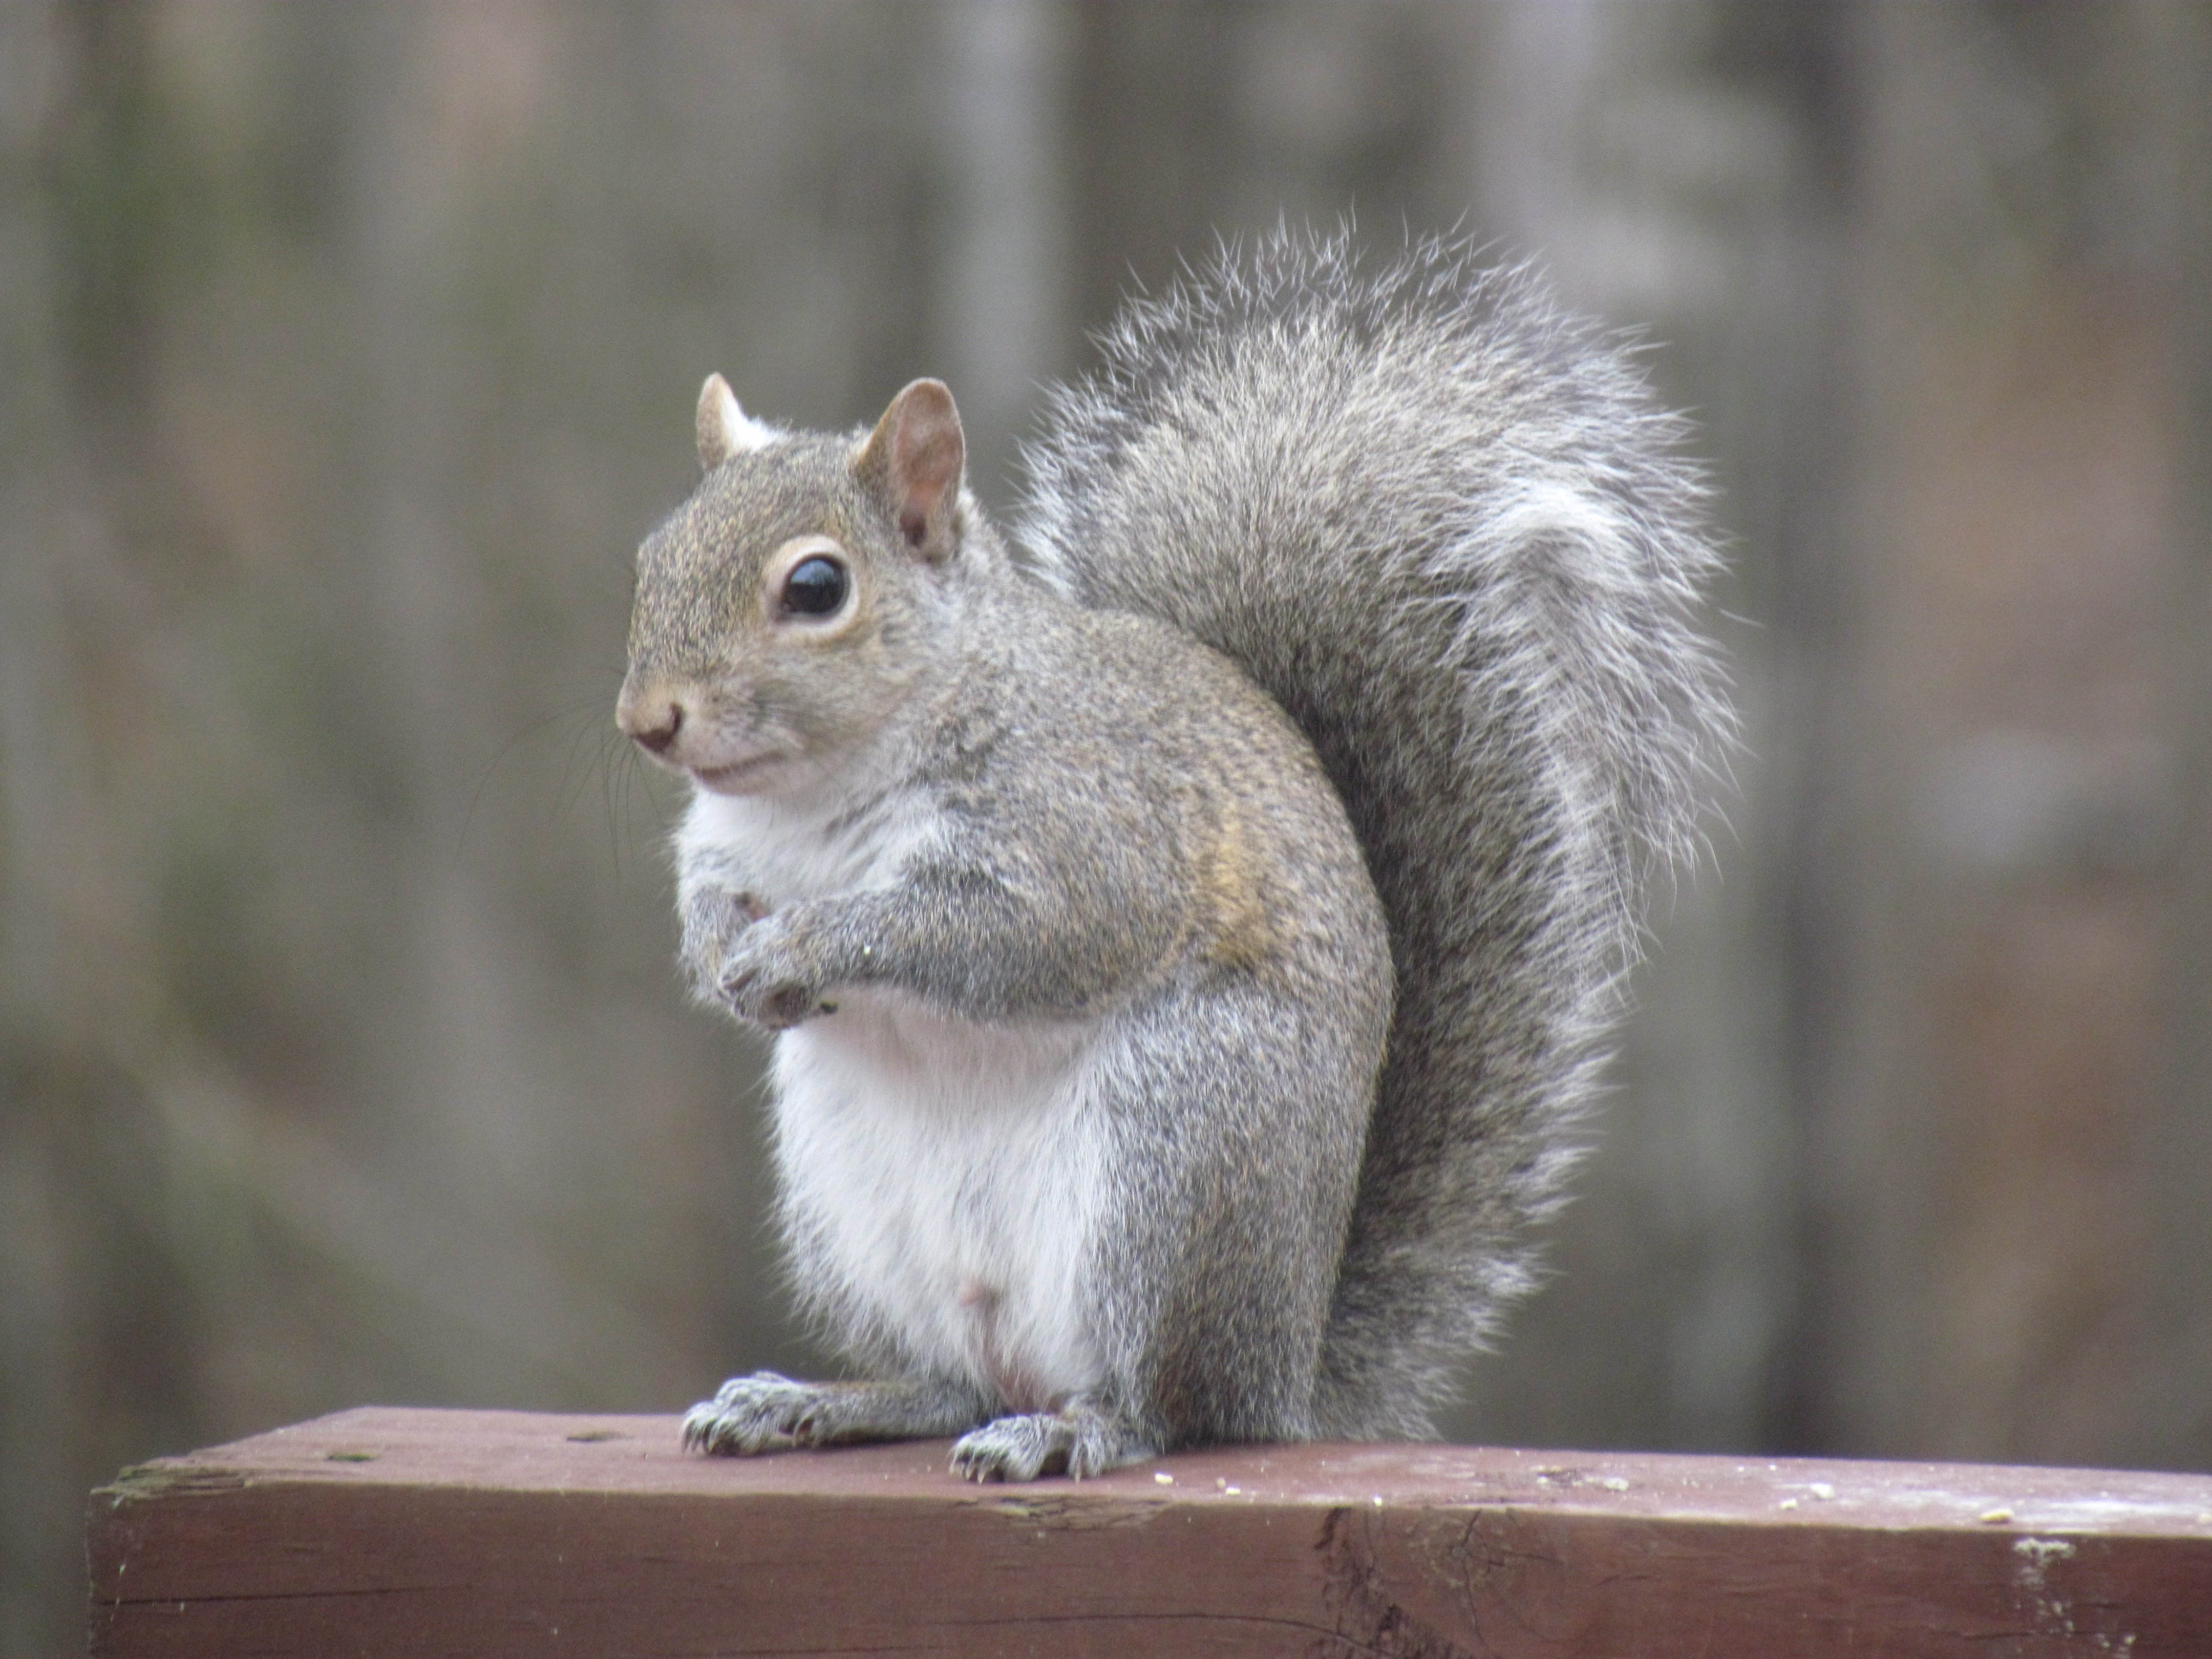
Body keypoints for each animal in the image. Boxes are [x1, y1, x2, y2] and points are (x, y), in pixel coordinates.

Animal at [616, 230, 1728, 1481]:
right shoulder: (724, 846)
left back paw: (1077, 1428)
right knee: (953, 1384)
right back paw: (818, 1403)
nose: (646, 721)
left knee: (1168, 1408)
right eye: (652, 559)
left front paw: (806, 946)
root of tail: (1287, 1370)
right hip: (849, 1202)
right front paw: (725, 957)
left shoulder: (1090, 831)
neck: (818, 794)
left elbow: (1011, 933)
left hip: (1181, 1155)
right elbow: (709, 900)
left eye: (816, 587)